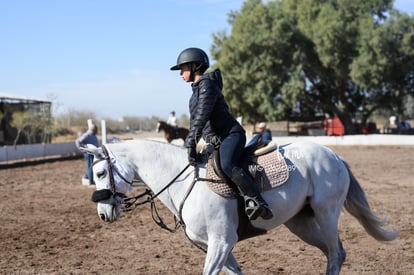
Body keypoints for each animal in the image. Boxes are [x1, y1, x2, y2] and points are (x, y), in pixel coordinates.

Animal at [82, 140, 400, 275]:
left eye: (100, 172)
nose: (103, 214)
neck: (185, 180)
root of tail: (334, 155)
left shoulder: (222, 242)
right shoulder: (215, 246)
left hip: (326, 213)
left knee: (335, 254)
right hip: (301, 223)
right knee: (332, 253)